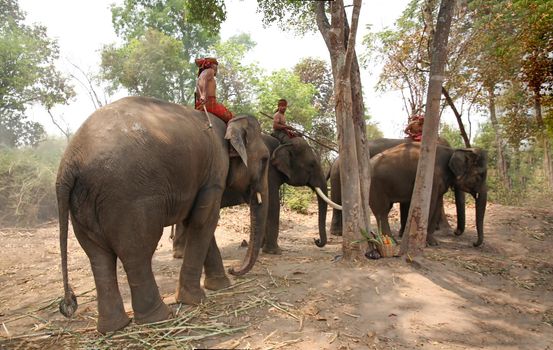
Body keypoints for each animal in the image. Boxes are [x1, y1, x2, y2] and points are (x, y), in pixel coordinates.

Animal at [56, 96, 270, 334]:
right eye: (265, 160)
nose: (234, 269)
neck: (229, 123)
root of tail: (69, 164)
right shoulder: (215, 172)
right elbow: (204, 221)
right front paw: (195, 300)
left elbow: (198, 220)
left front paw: (219, 287)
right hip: (128, 200)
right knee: (137, 253)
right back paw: (159, 318)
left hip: (82, 206)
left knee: (98, 256)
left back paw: (113, 328)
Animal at [172, 133, 338, 256]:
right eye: (312, 164)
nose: (316, 240)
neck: (283, 142)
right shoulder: (267, 173)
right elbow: (272, 204)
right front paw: (274, 252)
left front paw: (261, 247)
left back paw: (179, 254)